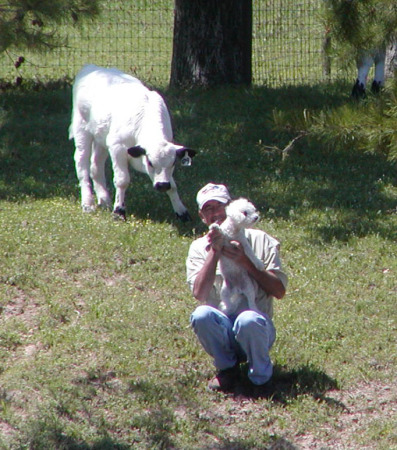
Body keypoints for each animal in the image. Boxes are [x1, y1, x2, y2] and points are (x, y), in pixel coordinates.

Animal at [71, 64, 196, 221]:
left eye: (174, 163)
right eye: (150, 162)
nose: (162, 185)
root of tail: (90, 67)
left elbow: (173, 185)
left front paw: (182, 212)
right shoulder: (117, 148)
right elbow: (122, 180)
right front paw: (119, 211)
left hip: (101, 138)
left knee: (96, 166)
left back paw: (104, 200)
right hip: (82, 131)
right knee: (82, 164)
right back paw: (88, 203)